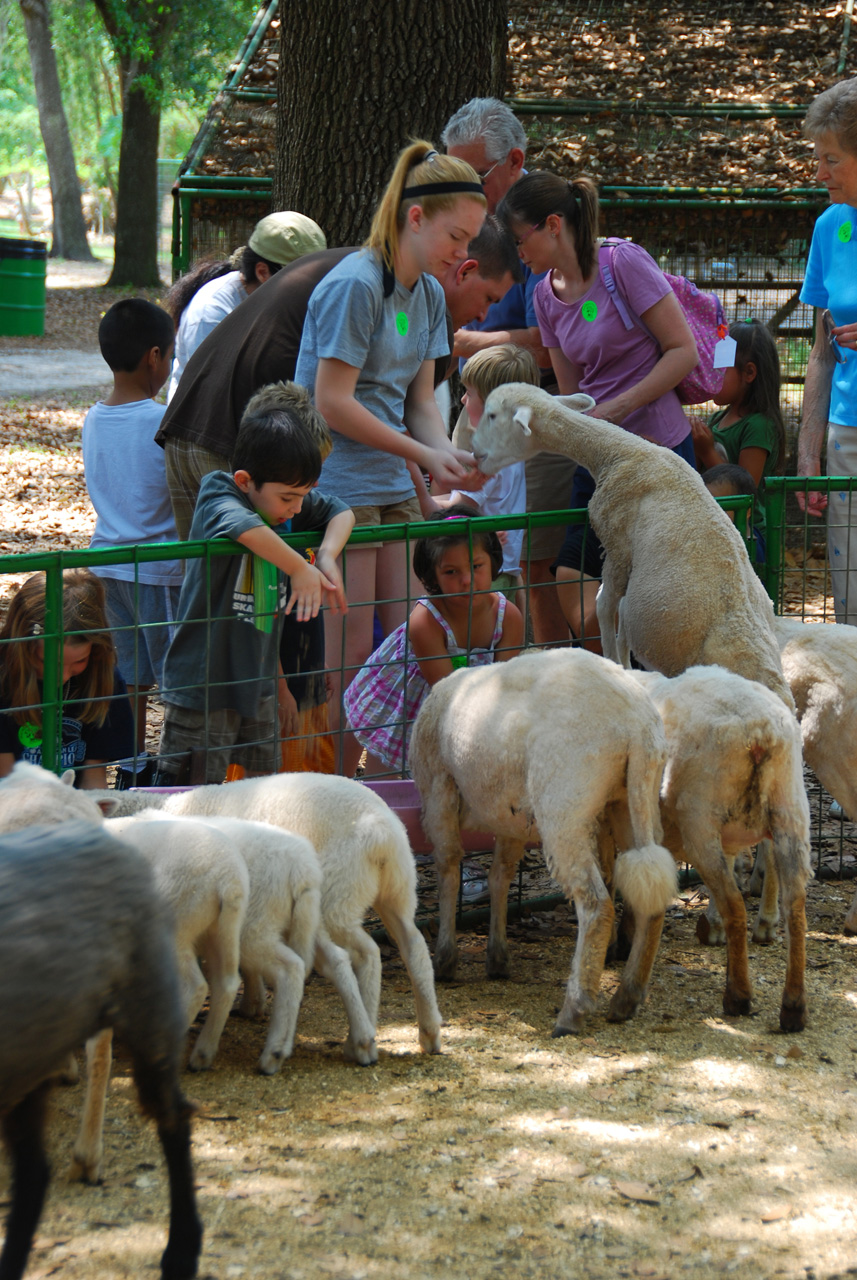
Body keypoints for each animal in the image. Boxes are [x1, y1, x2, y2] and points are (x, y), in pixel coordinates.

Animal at [94, 773, 442, 1064]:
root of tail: (381, 829)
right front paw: (254, 1002)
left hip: (335, 897)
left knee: (361, 954)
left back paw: (358, 1041)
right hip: (396, 890)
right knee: (413, 947)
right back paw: (428, 1033)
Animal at [409, 645, 680, 1034]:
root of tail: (637, 725)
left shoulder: (438, 787)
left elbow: (448, 868)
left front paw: (445, 959)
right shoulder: (510, 813)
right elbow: (501, 875)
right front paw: (497, 957)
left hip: (564, 804)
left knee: (597, 904)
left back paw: (574, 1010)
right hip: (631, 800)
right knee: (651, 892)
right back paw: (626, 997)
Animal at [473, 386, 798, 711]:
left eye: (492, 415)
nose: (475, 452)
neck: (620, 452)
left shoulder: (616, 541)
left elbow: (604, 605)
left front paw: (614, 663)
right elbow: (620, 613)